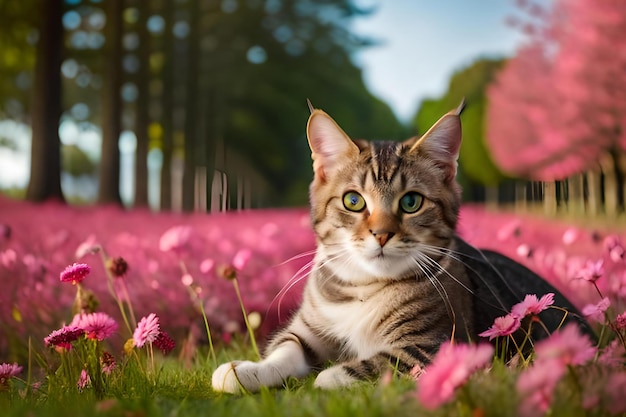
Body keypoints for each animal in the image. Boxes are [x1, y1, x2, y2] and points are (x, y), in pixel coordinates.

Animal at [211, 101, 588, 394]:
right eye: (353, 201)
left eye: (411, 202)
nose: (381, 234)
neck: (362, 288)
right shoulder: (309, 328)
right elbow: (286, 348)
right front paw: (245, 370)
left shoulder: (436, 346)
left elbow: (375, 363)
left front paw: (329, 376)